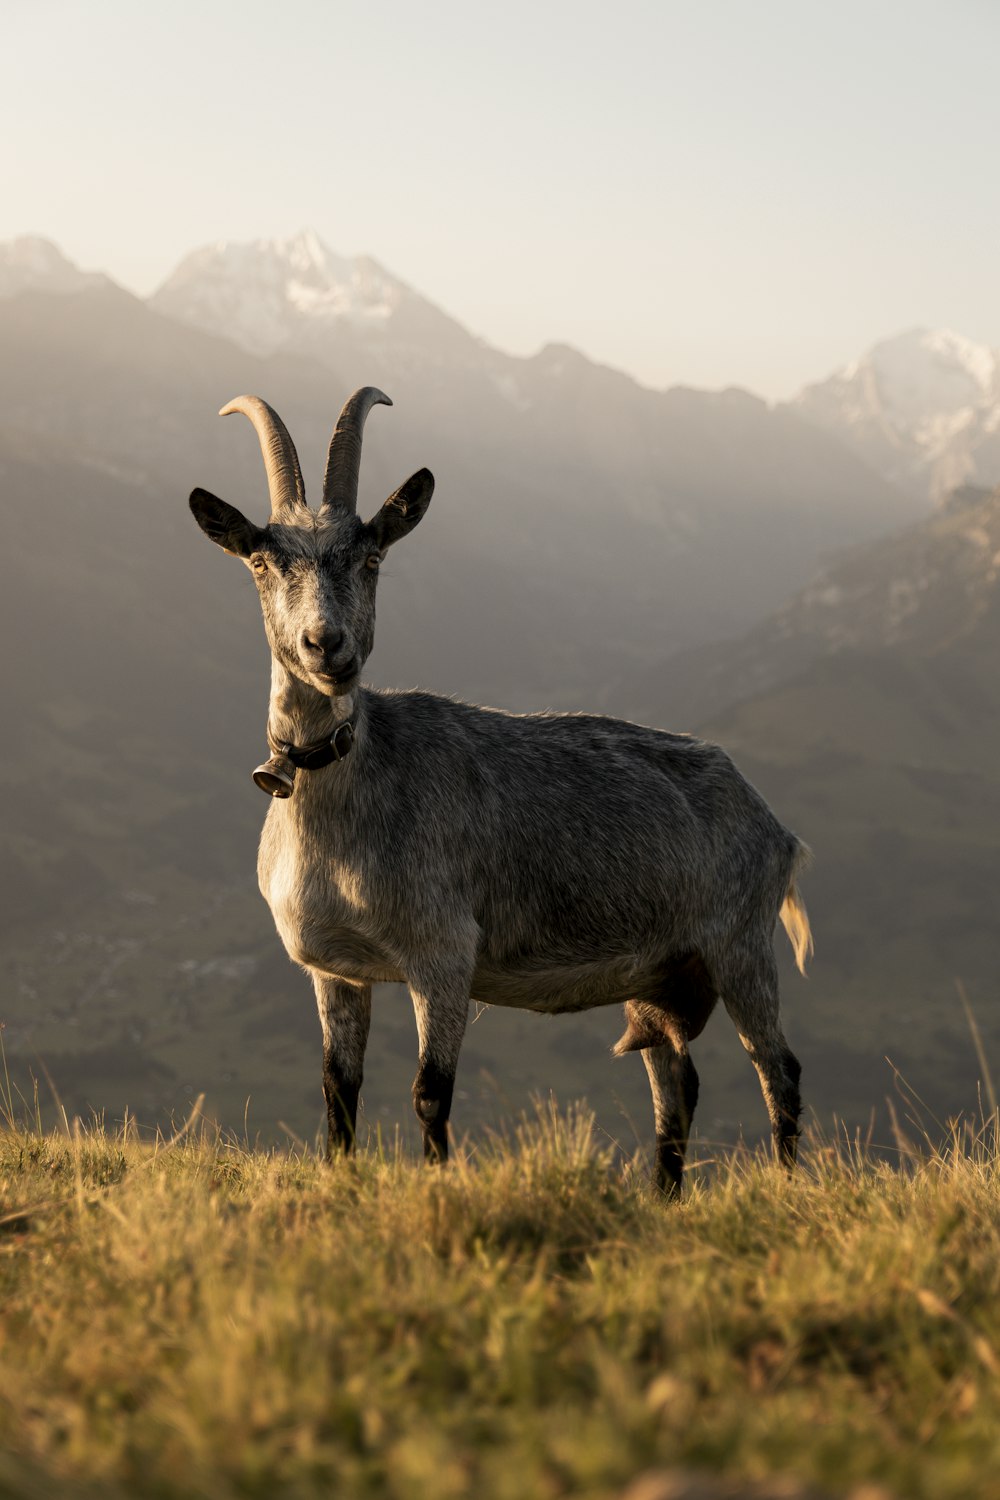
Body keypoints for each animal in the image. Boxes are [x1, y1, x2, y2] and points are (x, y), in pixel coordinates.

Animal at [189, 390, 815, 1194]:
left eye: (372, 555)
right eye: (264, 561)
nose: (326, 646)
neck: (344, 803)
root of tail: (775, 827)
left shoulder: (443, 952)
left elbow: (430, 1092)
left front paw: (435, 1186)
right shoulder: (334, 970)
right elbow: (338, 1091)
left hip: (740, 943)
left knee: (779, 1071)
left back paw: (788, 1187)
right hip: (661, 971)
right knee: (678, 1085)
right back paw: (664, 1198)